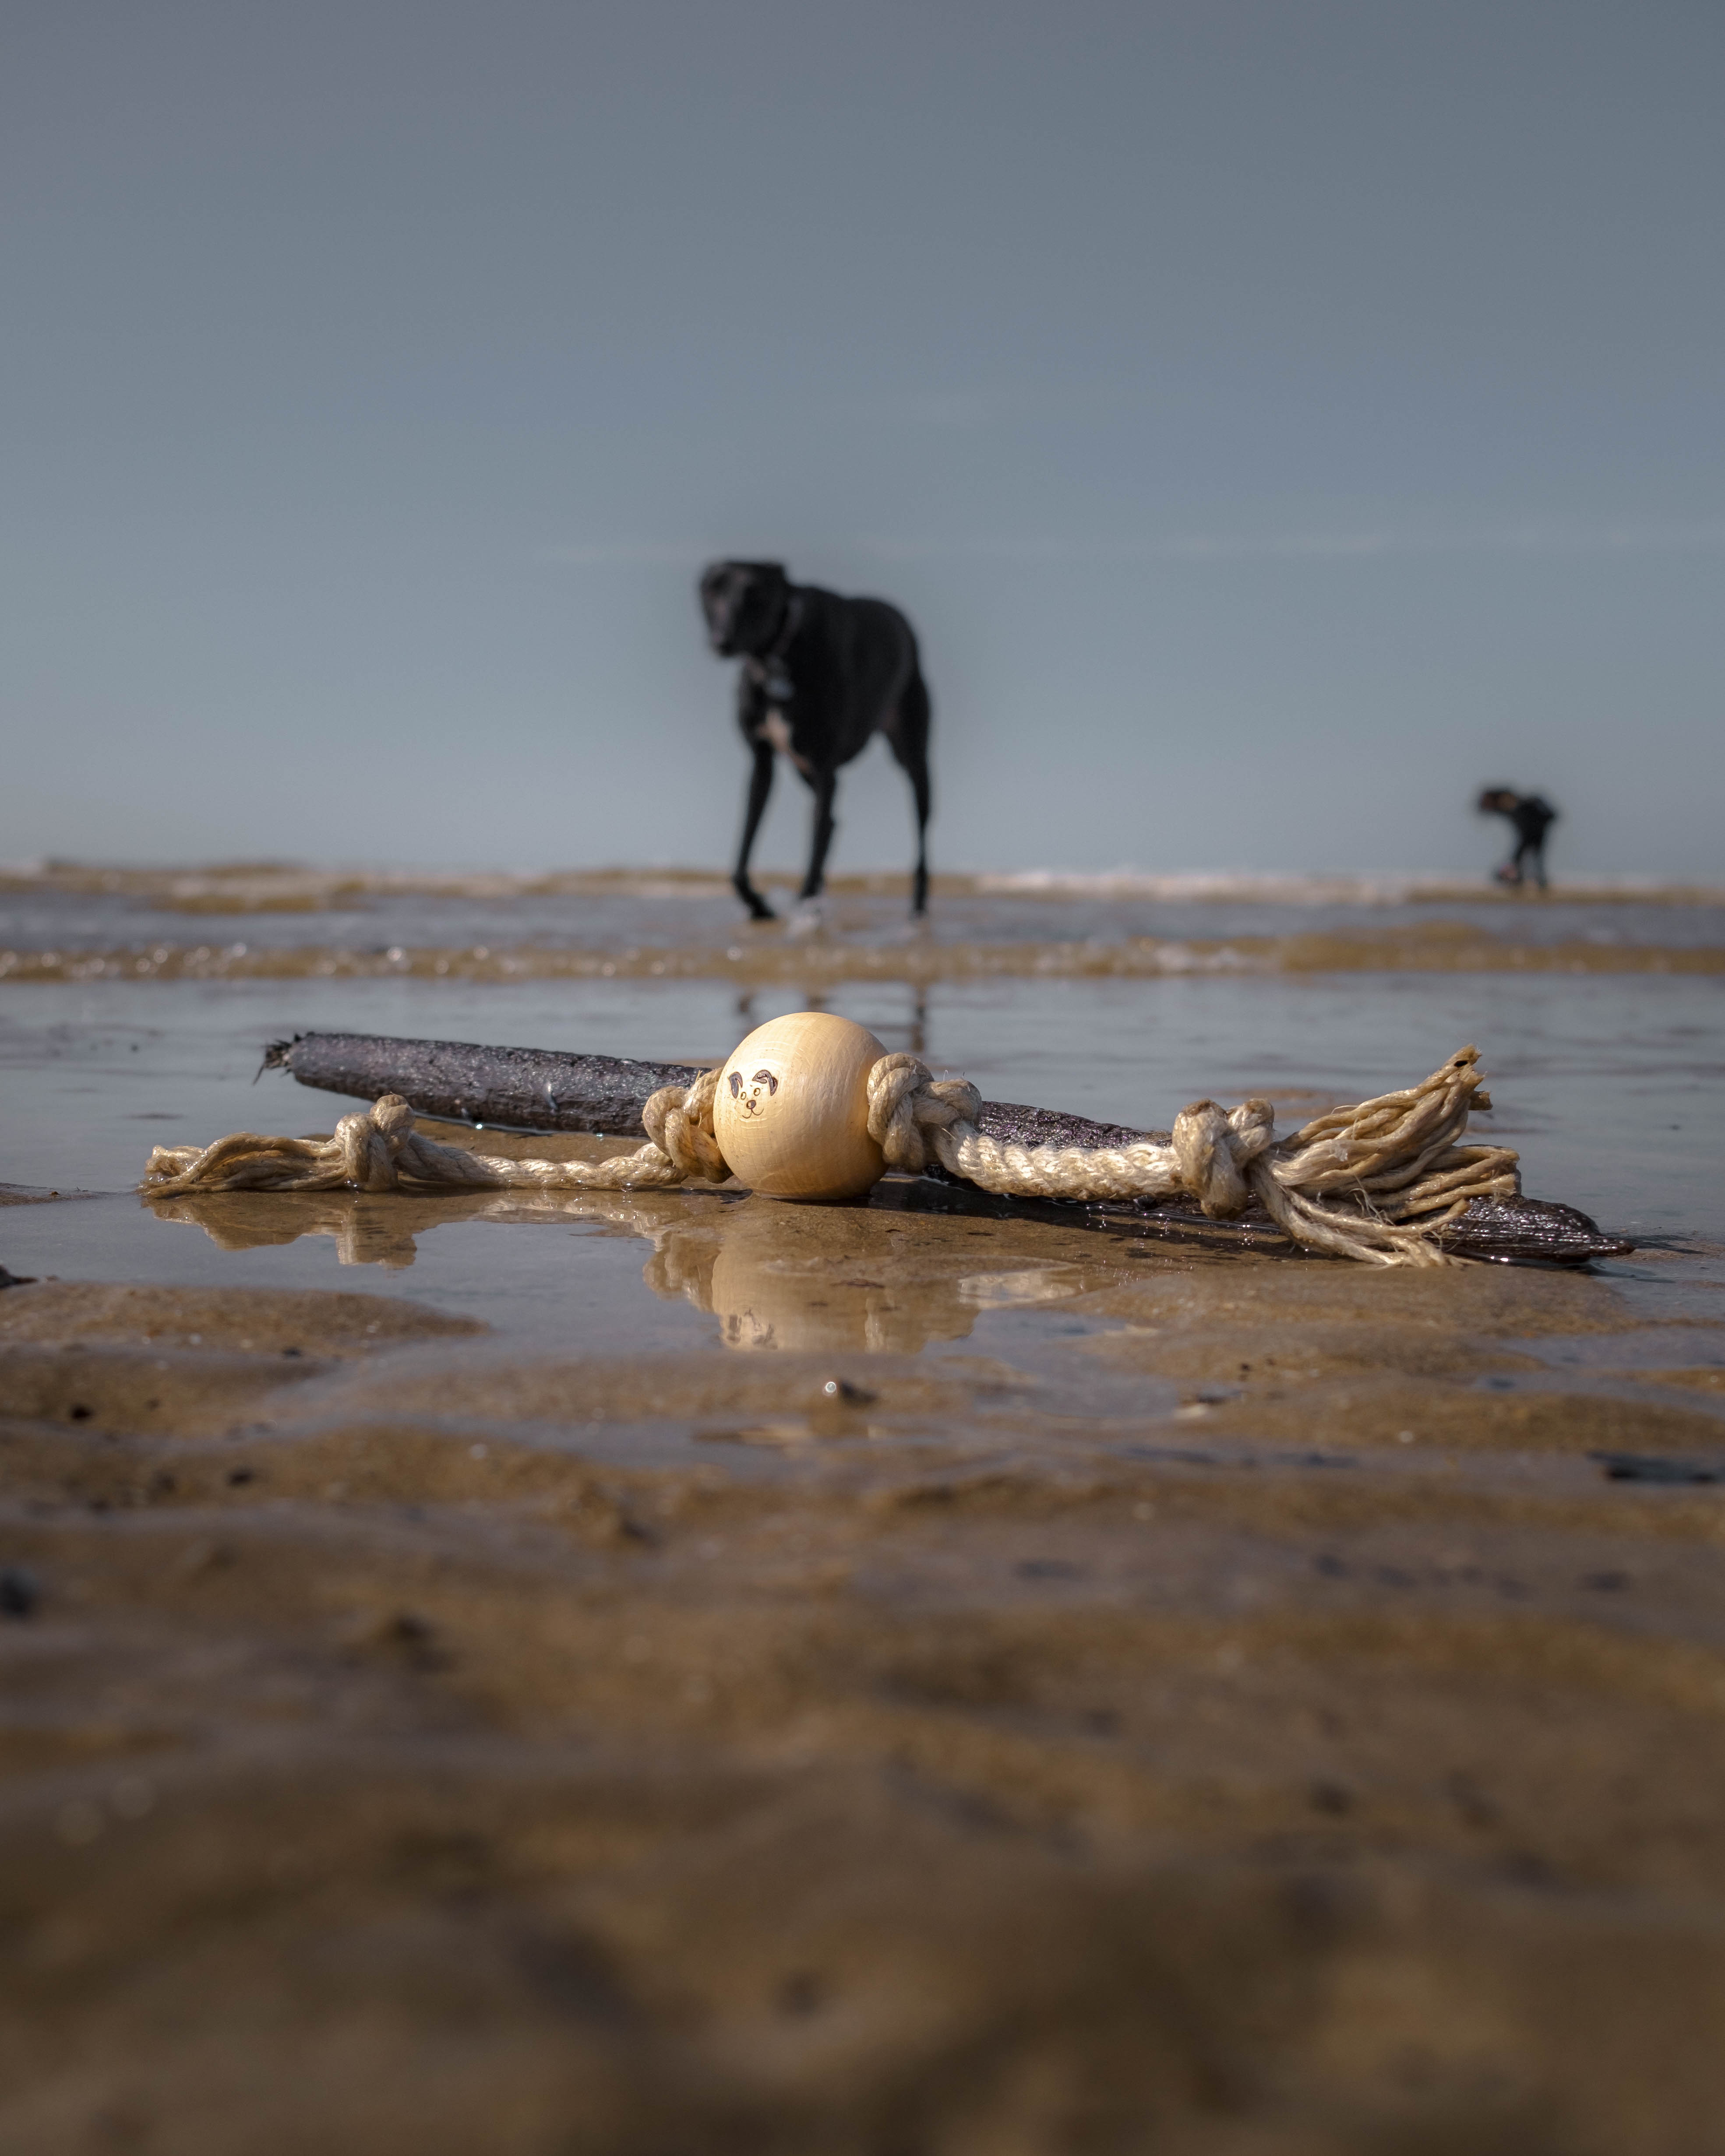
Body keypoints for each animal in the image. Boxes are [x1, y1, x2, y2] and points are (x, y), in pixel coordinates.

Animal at [698, 556, 931, 918]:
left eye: (755, 593)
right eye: (712, 592)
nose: (721, 641)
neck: (776, 662)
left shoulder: (825, 766)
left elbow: (816, 835)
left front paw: (804, 905)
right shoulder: (762, 761)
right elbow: (742, 854)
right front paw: (759, 906)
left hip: (911, 753)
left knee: (917, 827)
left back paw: (916, 905)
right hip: (801, 766)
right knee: (832, 822)